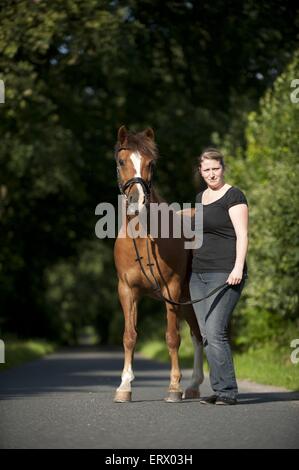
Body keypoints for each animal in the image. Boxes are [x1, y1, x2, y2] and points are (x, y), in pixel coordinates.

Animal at [113, 126, 205, 404]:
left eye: (151, 163)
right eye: (121, 161)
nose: (136, 200)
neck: (144, 237)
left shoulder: (170, 289)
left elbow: (172, 338)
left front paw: (173, 387)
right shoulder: (127, 291)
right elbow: (129, 336)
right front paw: (124, 386)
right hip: (186, 302)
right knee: (198, 336)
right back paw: (193, 386)